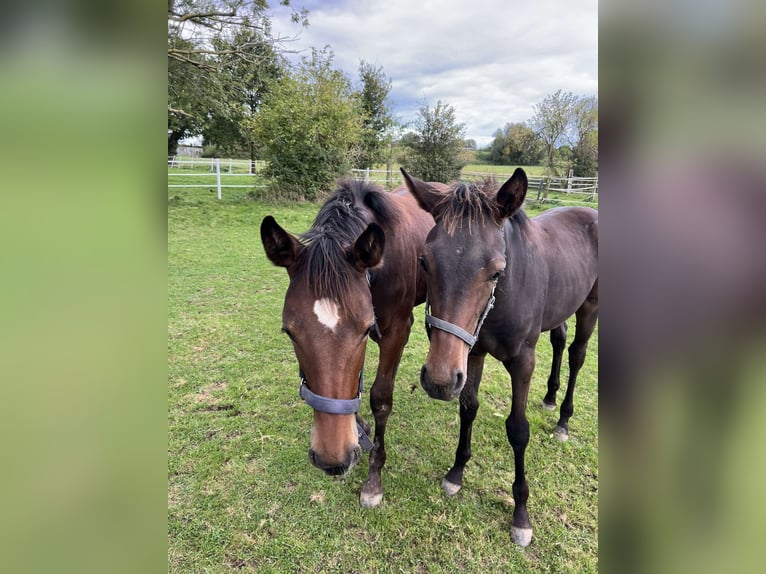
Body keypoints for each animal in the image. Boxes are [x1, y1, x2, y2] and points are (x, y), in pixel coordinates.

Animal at [260, 180, 436, 508]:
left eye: (366, 330)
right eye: (289, 332)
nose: (333, 460)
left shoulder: (396, 332)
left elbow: (380, 398)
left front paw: (373, 480)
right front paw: (358, 427)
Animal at [402, 168, 600, 548]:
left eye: (496, 271)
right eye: (423, 262)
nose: (438, 381)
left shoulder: (523, 362)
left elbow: (518, 430)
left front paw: (521, 516)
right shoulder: (472, 353)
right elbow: (468, 408)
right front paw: (456, 473)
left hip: (590, 307)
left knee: (577, 355)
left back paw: (563, 420)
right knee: (559, 339)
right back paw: (549, 398)